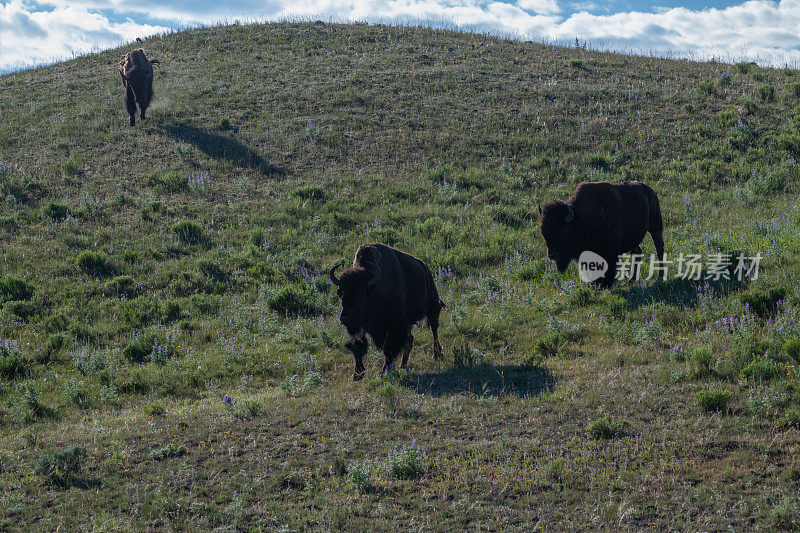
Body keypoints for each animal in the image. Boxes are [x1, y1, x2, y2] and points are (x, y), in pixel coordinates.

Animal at [328, 243, 446, 380]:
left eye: (361, 293)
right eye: (339, 292)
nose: (345, 318)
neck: (374, 289)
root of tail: (424, 266)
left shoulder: (394, 325)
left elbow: (388, 348)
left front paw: (384, 371)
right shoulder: (360, 327)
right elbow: (357, 346)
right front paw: (357, 374)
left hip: (432, 306)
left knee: (434, 329)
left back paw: (437, 355)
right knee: (410, 340)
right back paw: (403, 365)